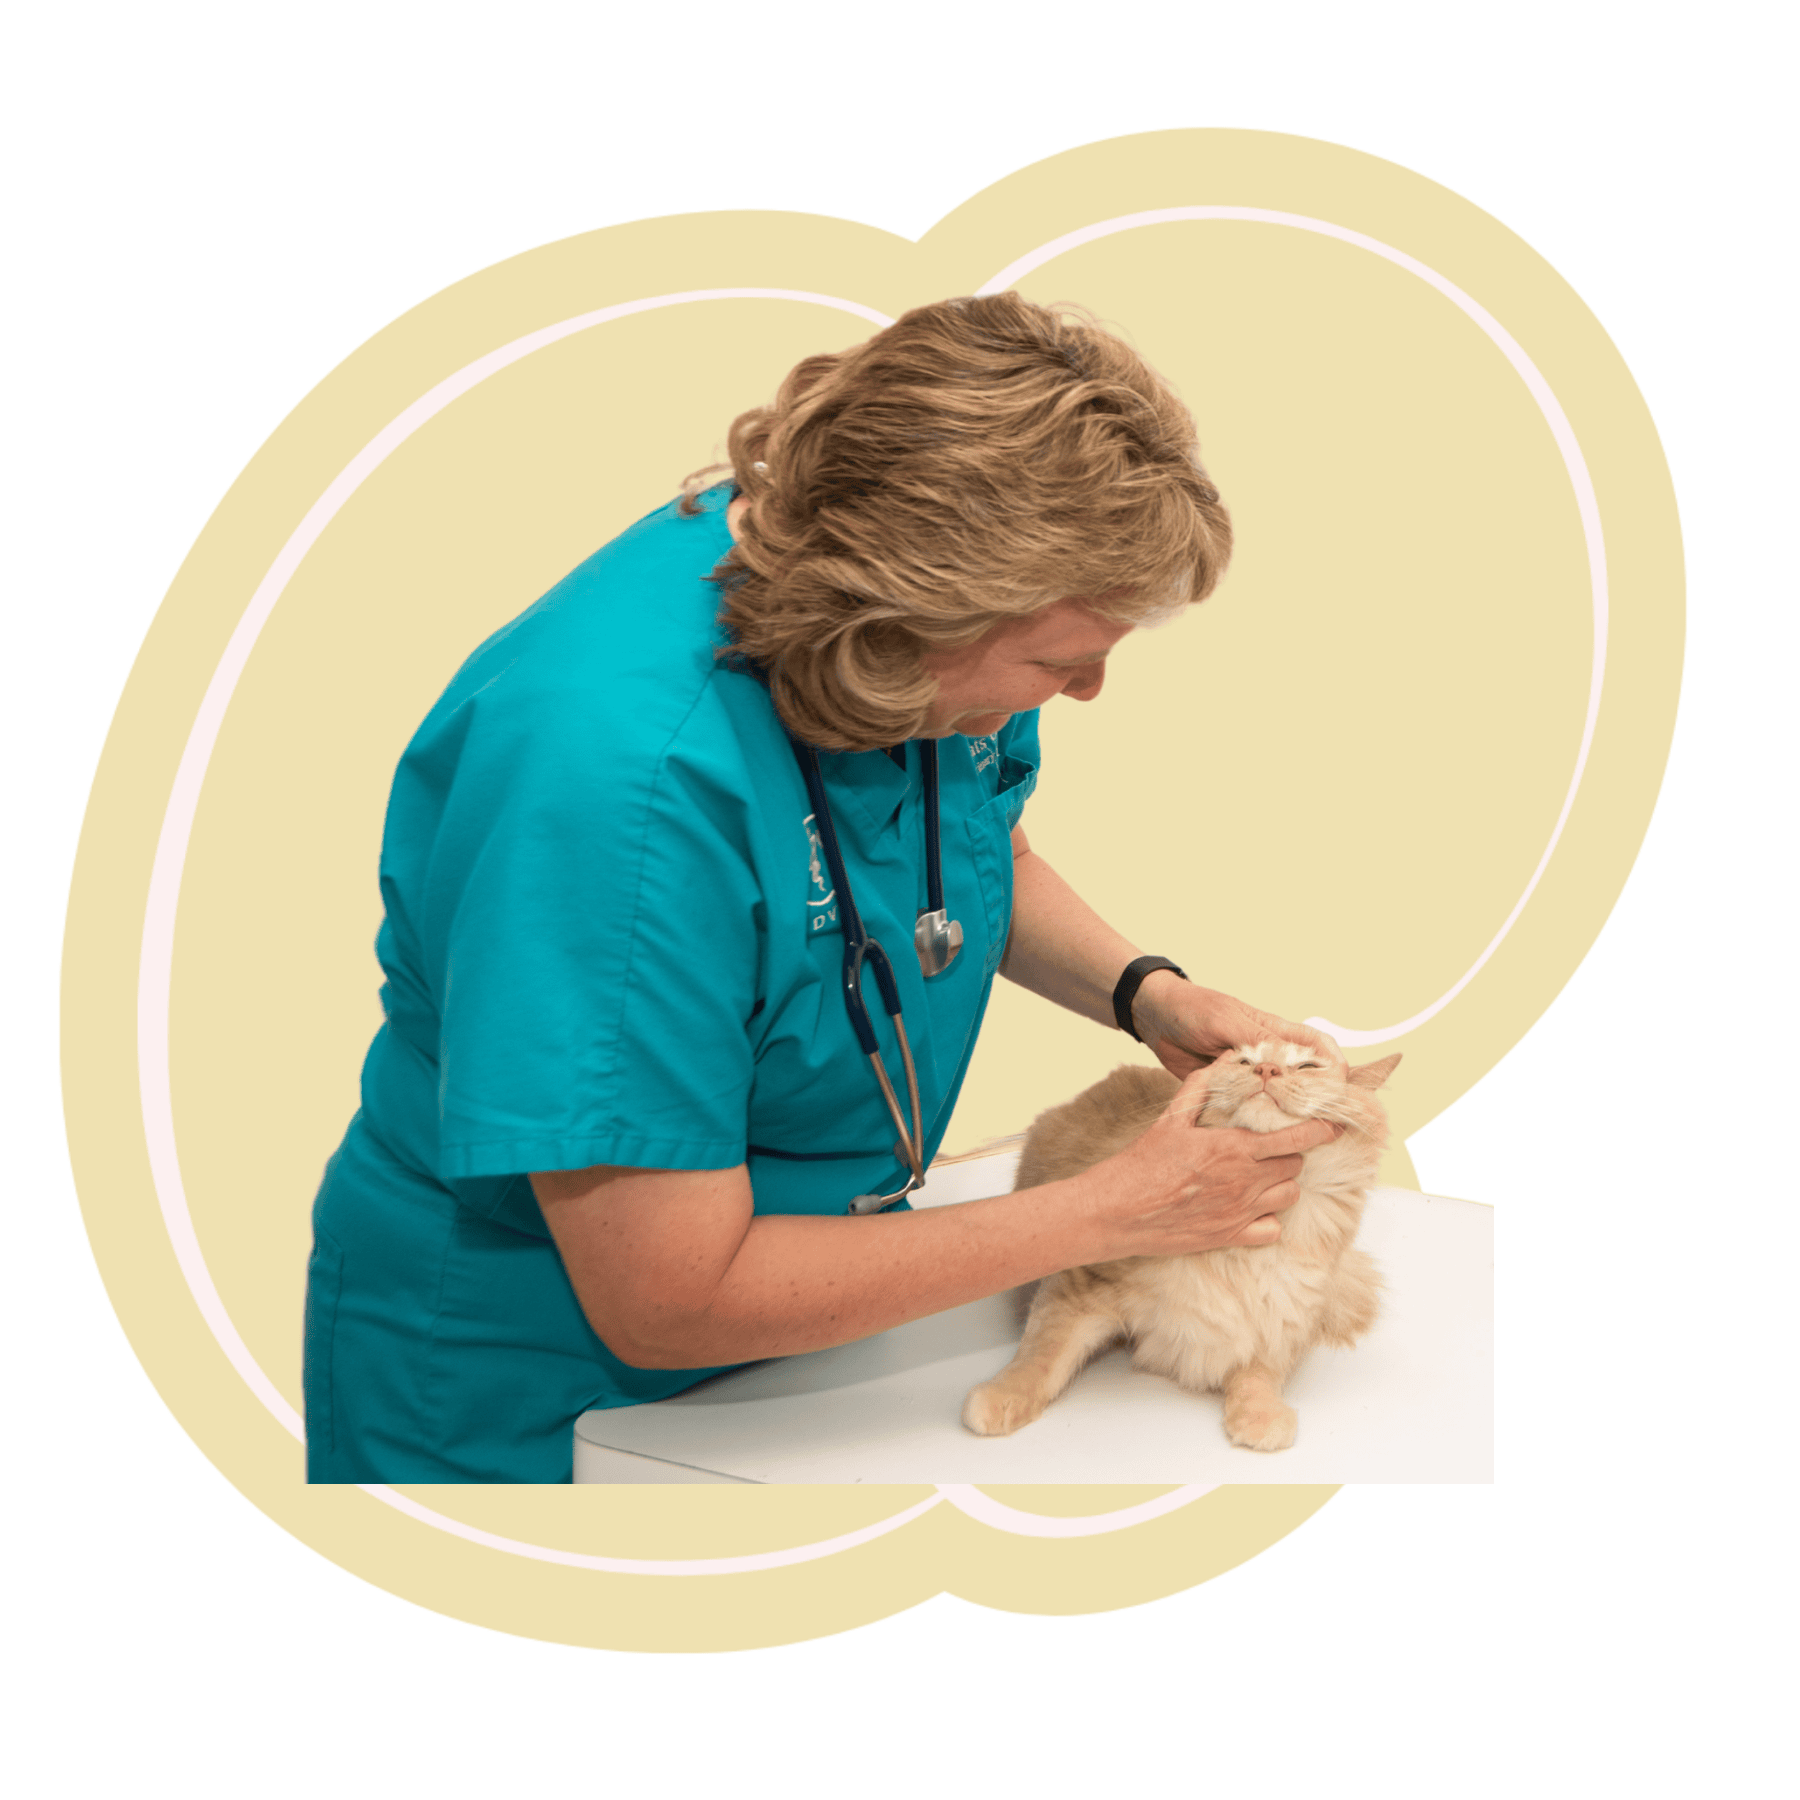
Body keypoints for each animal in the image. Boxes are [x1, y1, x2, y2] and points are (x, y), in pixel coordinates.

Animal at [964, 1044, 1396, 1447]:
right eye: (1245, 1061)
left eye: (1307, 1066)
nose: (1266, 1070)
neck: (1245, 1249)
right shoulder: (1079, 1283)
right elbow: (1043, 1353)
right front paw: (1002, 1396)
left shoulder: (1286, 1313)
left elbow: (1260, 1372)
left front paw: (1260, 1414)